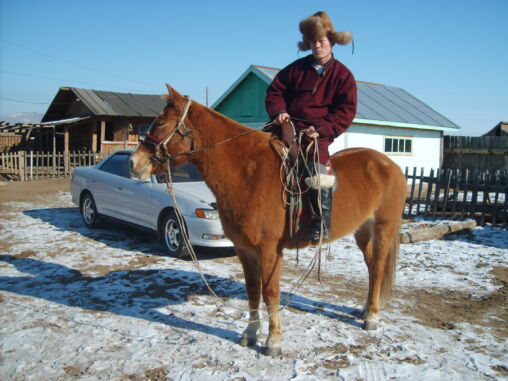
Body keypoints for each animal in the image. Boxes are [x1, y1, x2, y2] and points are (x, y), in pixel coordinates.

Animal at [132, 84, 408, 354]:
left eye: (159, 123)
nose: (134, 163)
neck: (247, 174)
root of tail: (389, 164)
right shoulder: (244, 249)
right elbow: (253, 291)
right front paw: (250, 333)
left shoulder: (268, 251)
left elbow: (270, 293)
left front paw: (273, 341)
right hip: (362, 231)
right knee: (372, 268)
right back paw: (365, 309)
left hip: (383, 229)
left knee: (378, 267)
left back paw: (371, 317)